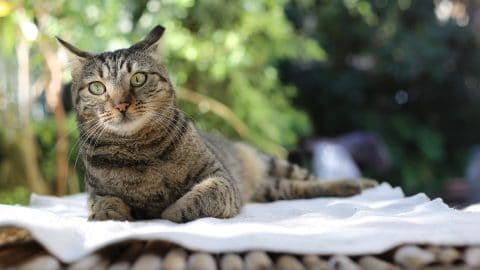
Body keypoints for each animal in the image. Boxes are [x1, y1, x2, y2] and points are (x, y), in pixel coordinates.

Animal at [57, 25, 378, 224]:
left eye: (138, 78)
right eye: (97, 88)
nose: (120, 104)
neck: (139, 150)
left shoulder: (221, 177)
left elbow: (203, 196)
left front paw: (172, 210)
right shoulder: (96, 192)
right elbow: (105, 203)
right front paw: (108, 216)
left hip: (271, 162)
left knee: (312, 180)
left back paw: (358, 183)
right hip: (274, 188)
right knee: (298, 189)